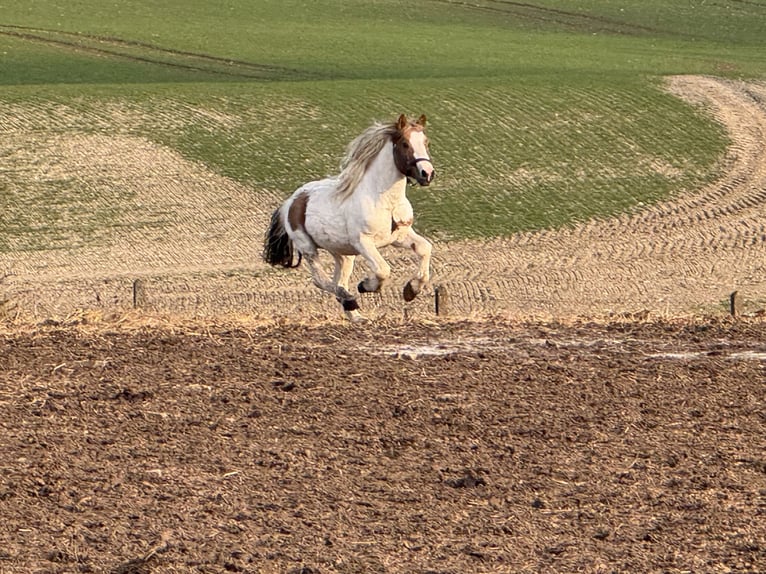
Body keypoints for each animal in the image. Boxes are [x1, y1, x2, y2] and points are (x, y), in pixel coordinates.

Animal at [263, 114, 435, 322]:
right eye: (405, 143)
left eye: (426, 142)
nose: (427, 173)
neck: (385, 201)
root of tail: (291, 201)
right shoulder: (363, 242)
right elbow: (383, 270)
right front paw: (365, 286)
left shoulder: (399, 237)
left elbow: (425, 248)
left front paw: (411, 290)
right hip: (308, 247)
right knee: (322, 281)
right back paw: (349, 299)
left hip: (342, 254)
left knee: (338, 279)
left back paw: (357, 316)